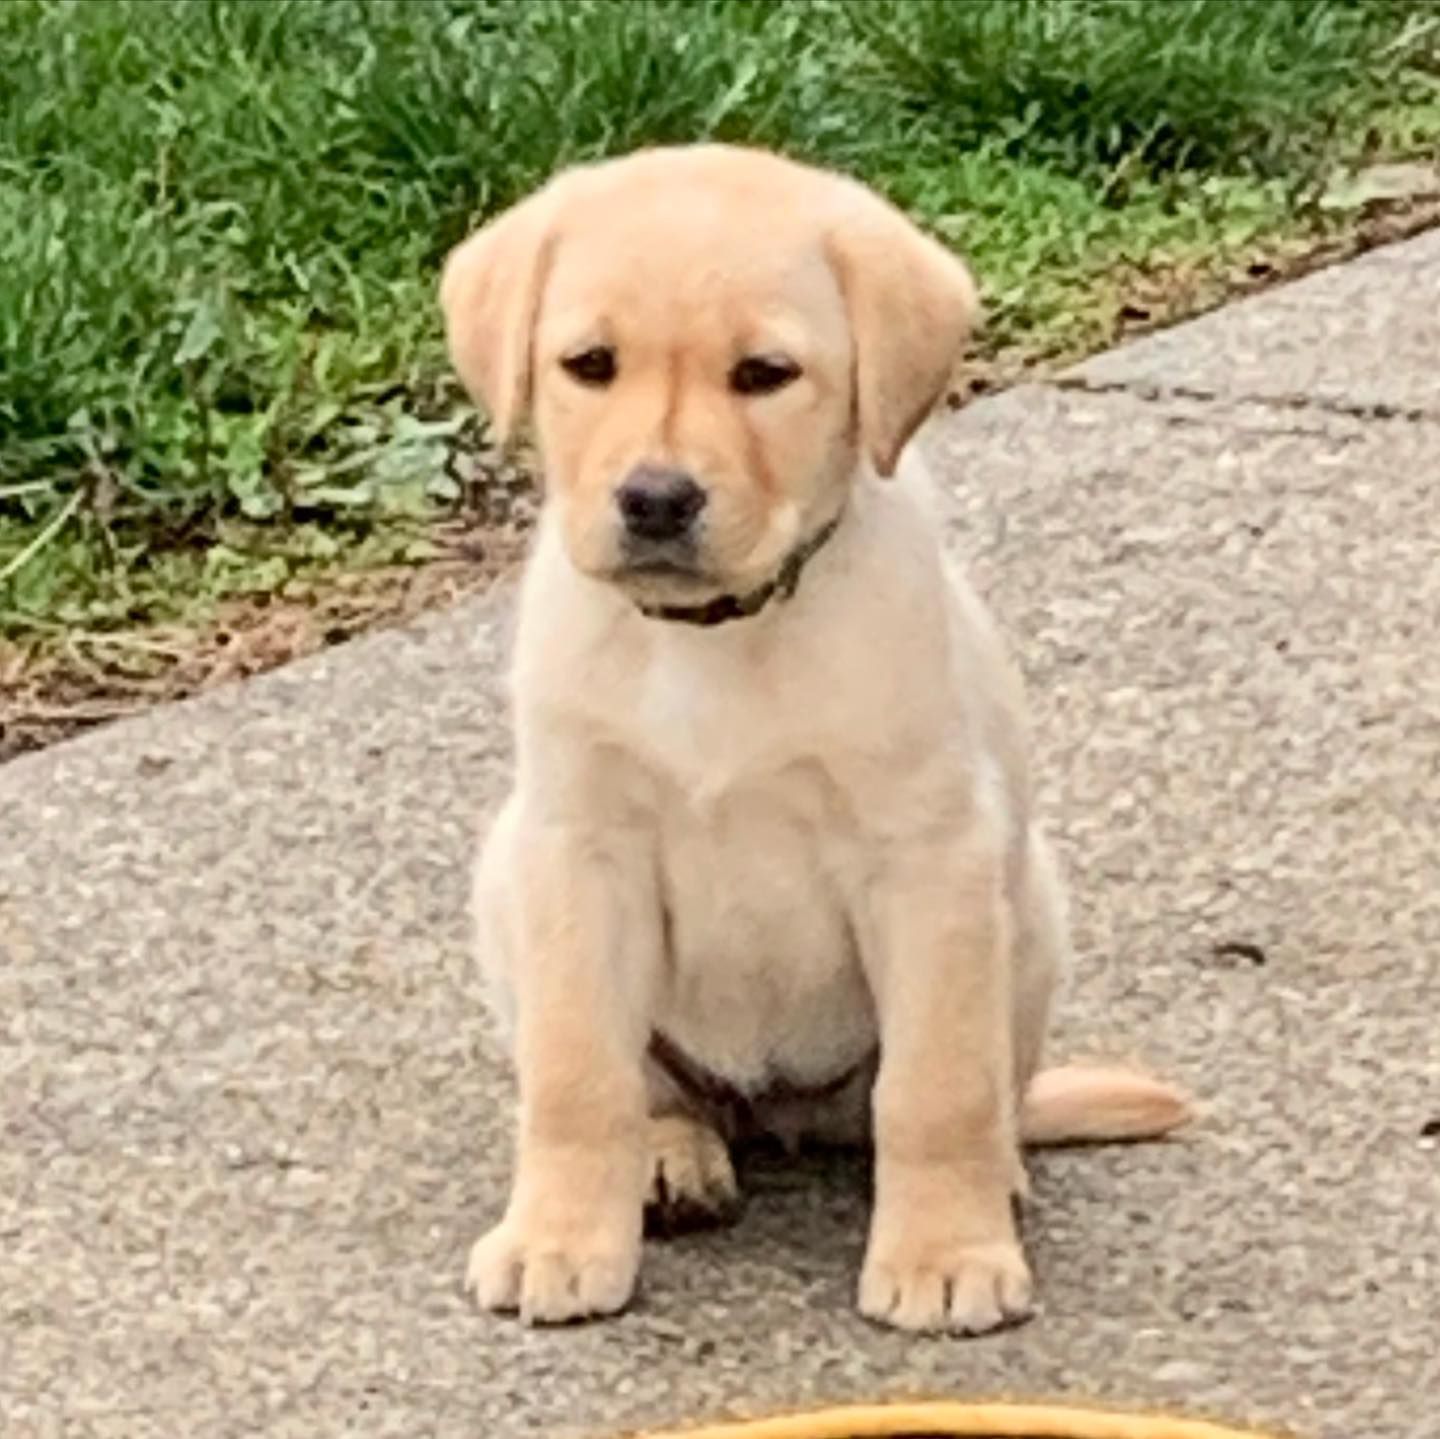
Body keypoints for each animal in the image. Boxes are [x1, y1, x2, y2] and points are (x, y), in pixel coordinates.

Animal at [443, 146, 1186, 1336]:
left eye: (765, 374)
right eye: (589, 364)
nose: (655, 498)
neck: (717, 634)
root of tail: (780, 1112)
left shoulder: (928, 858)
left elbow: (935, 1088)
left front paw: (944, 1254)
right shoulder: (578, 853)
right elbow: (576, 1075)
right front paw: (557, 1238)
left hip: (1029, 906)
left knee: (969, 1094)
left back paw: (993, 1177)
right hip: (505, 874)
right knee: (657, 1089)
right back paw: (668, 1158)